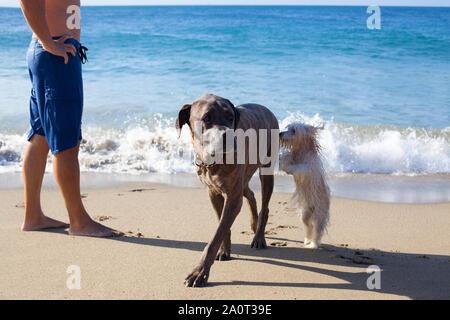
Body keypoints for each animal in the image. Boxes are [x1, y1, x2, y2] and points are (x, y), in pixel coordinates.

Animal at [175, 93, 278, 288]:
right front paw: (224, 250)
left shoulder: (232, 198)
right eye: (206, 118)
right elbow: (222, 226)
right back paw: (254, 223)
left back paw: (259, 236)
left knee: (265, 204)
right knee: (250, 194)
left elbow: (217, 234)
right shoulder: (213, 193)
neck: (212, 162)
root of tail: (267, 109)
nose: (229, 137)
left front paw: (200, 272)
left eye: (230, 117)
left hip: (267, 168)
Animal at [278, 121, 330, 249]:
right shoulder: (294, 157)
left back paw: (313, 244)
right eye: (288, 128)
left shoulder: (308, 169)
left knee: (317, 231)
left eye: (293, 130)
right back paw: (307, 240)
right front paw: (283, 159)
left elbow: (299, 168)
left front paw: (287, 167)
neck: (301, 152)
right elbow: (289, 157)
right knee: (308, 226)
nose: (280, 133)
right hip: (305, 213)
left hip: (319, 214)